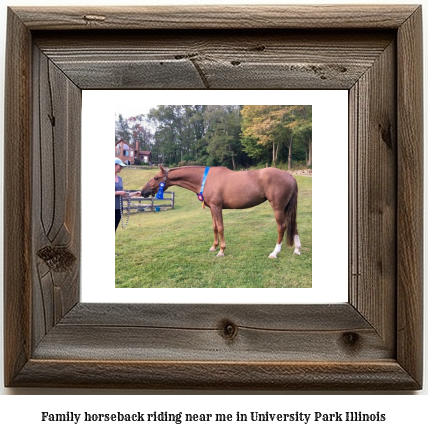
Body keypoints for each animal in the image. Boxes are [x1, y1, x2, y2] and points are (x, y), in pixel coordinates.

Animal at [141, 166, 300, 258]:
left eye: (155, 177)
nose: (143, 191)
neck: (206, 179)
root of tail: (290, 176)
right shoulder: (212, 208)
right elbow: (215, 227)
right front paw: (214, 247)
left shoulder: (217, 207)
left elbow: (221, 227)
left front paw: (221, 251)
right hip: (287, 208)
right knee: (294, 226)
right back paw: (297, 249)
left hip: (278, 208)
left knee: (282, 227)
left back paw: (275, 252)